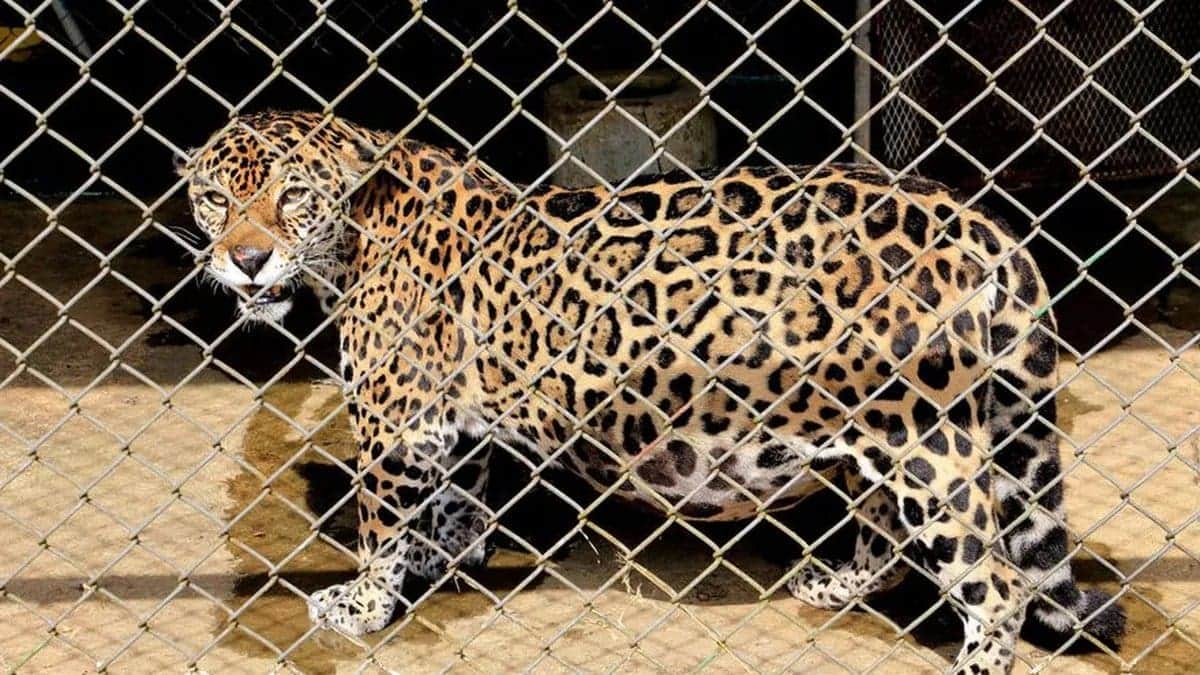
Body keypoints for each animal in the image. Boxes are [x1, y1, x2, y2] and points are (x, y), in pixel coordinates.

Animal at [177, 111, 1125, 673]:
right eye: (215, 198)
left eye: (294, 197)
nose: (247, 259)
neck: (353, 235)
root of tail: (985, 222)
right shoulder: (448, 420)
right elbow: (459, 492)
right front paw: (452, 554)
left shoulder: (395, 423)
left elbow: (380, 522)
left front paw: (365, 603)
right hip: (879, 423)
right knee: (890, 534)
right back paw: (834, 584)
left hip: (926, 439)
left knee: (997, 581)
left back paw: (973, 659)